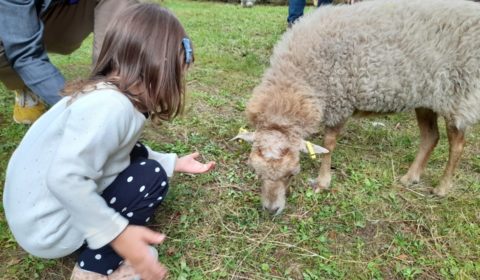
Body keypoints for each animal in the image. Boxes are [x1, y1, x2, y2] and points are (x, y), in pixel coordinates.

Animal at [235, 0, 480, 214]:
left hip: (459, 94)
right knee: (431, 137)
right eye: (256, 172)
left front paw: (322, 181)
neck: (299, 78)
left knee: (457, 145)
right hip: (426, 96)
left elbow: (329, 143)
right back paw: (410, 178)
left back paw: (442, 188)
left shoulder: (339, 102)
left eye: (292, 173)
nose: (271, 210)